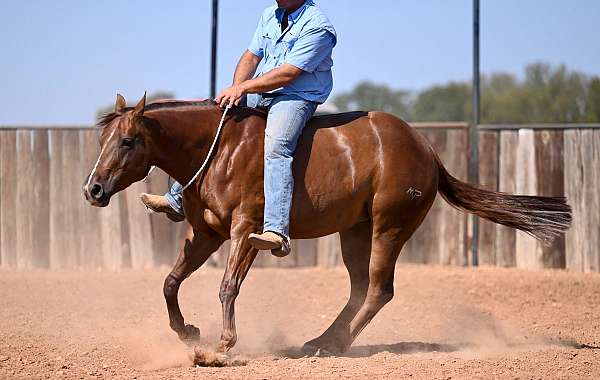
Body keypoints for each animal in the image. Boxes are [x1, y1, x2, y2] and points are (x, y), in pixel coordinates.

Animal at [82, 93, 568, 354]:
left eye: (128, 141)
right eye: (103, 138)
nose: (94, 189)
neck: (219, 150)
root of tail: (425, 148)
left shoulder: (245, 232)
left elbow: (227, 286)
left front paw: (224, 342)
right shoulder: (205, 234)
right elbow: (170, 281)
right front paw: (187, 332)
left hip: (390, 227)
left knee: (378, 289)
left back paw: (336, 345)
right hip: (353, 232)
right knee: (359, 289)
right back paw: (320, 341)